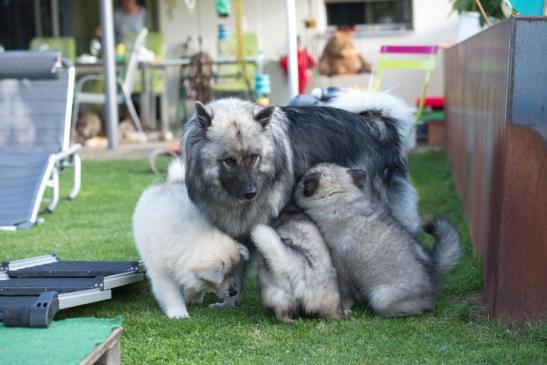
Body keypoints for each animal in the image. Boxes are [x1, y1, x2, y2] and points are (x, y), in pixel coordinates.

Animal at [134, 159, 249, 316]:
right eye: (223, 276)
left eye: (232, 273)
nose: (234, 292)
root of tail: (173, 182)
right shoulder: (162, 273)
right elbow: (171, 293)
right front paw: (179, 313)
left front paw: (193, 298)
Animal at [184, 93, 420, 304]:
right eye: (229, 161)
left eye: (253, 157)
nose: (251, 193)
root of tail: (375, 124)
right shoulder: (238, 230)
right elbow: (237, 269)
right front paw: (230, 302)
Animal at [294, 162, 460, 316]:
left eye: (302, 181)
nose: (295, 185)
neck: (338, 194)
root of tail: (433, 272)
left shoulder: (340, 267)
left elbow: (343, 292)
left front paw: (345, 308)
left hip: (382, 298)